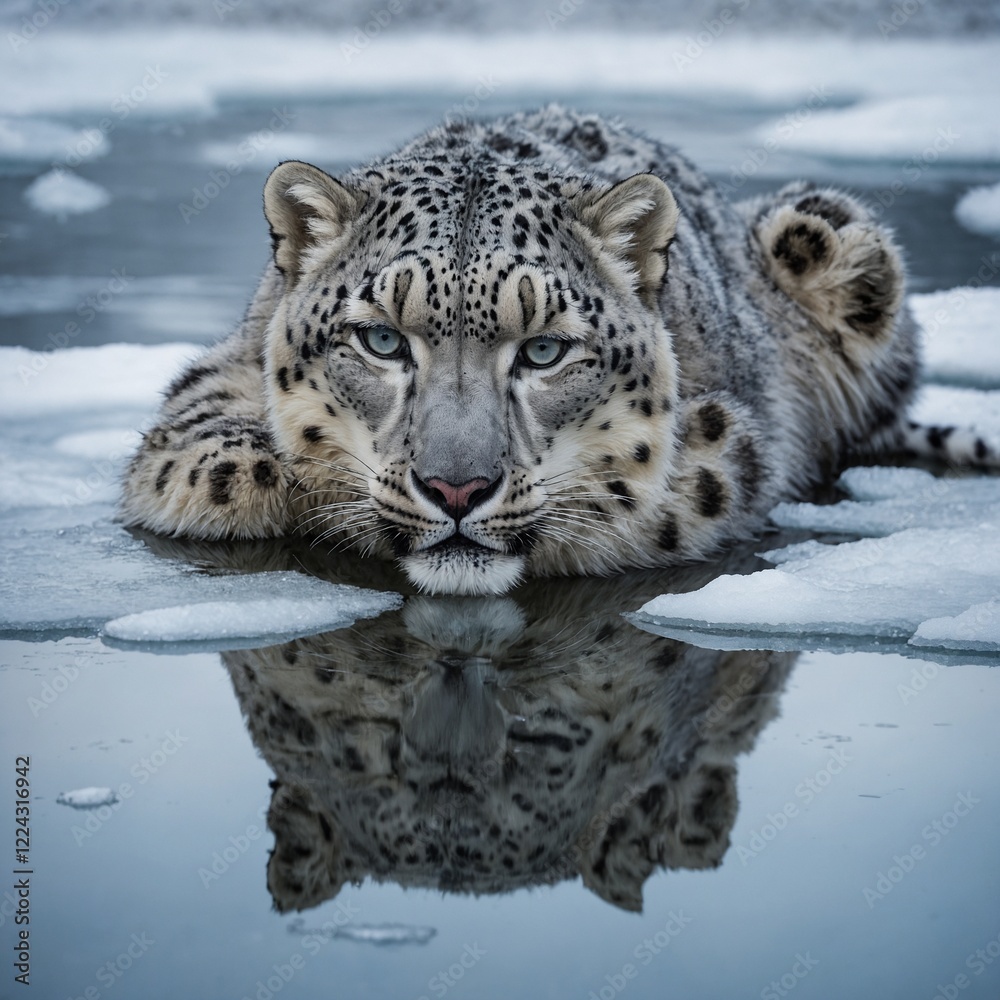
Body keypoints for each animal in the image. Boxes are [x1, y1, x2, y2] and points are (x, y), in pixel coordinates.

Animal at [120, 105, 994, 596]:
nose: (458, 490)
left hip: (824, 228)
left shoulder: (722, 449)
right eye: (380, 340)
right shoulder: (214, 381)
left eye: (543, 351)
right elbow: (211, 460)